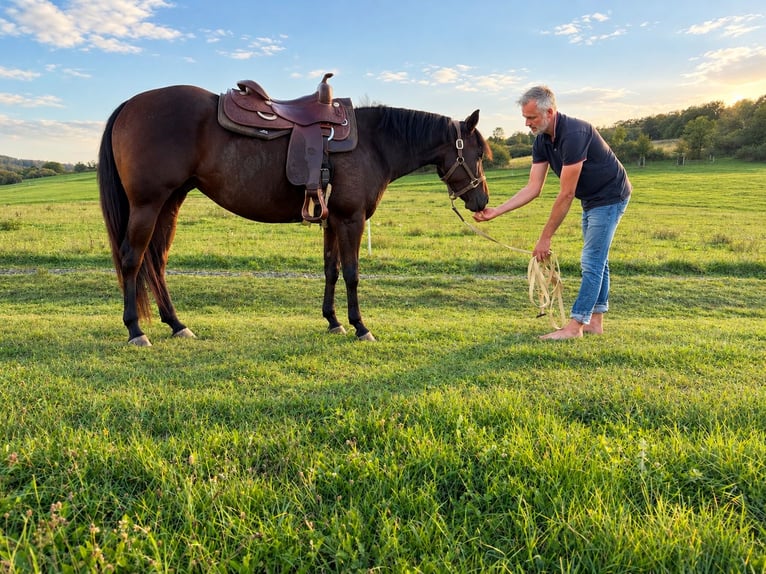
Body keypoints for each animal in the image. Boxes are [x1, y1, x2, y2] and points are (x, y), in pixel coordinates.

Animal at [98, 81, 490, 346]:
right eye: (479, 154)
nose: (482, 201)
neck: (373, 144)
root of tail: (131, 104)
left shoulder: (333, 220)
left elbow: (331, 270)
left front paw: (333, 321)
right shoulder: (351, 220)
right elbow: (352, 274)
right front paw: (360, 326)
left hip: (169, 204)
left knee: (156, 262)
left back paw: (177, 324)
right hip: (148, 204)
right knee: (132, 259)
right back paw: (136, 330)